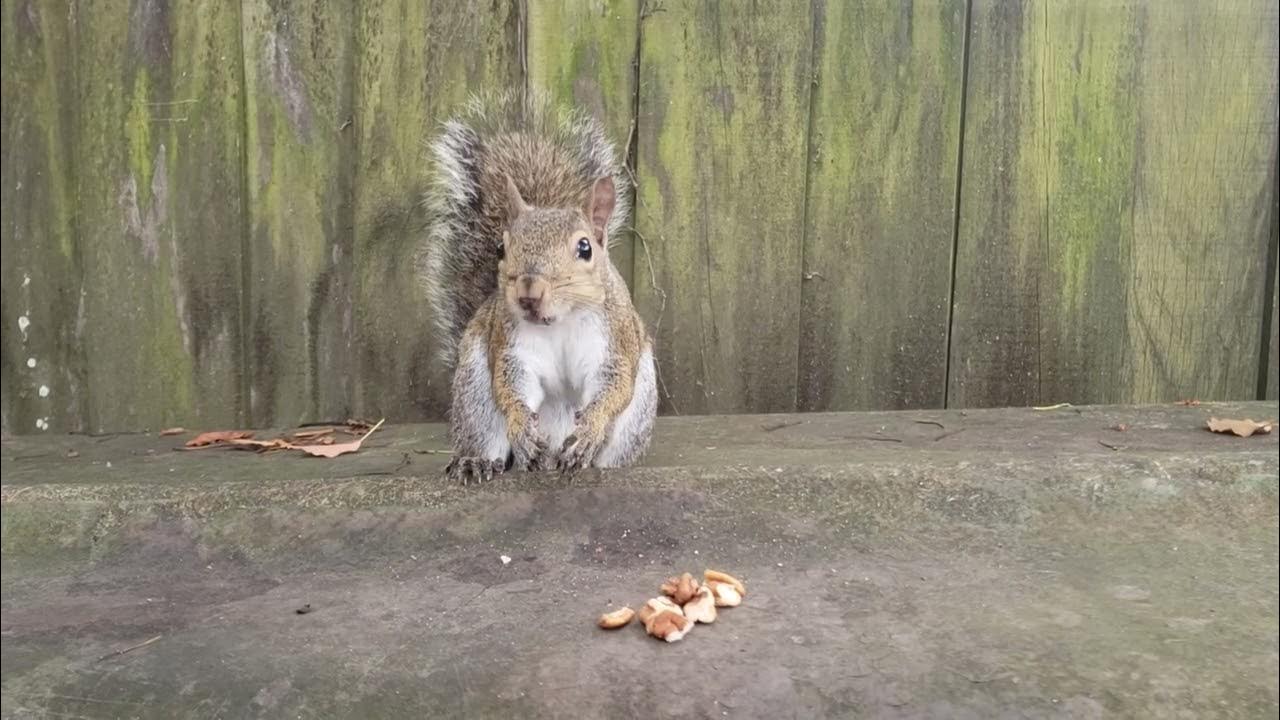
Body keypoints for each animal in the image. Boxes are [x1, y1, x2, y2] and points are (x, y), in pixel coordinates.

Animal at [422, 91, 658, 483]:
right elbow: (513, 385)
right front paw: (520, 424)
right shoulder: (512, 349)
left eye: (585, 248)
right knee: (485, 435)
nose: (529, 292)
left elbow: (613, 385)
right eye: (501, 249)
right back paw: (477, 461)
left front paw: (590, 428)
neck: (560, 321)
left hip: (632, 425)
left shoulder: (614, 342)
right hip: (474, 394)